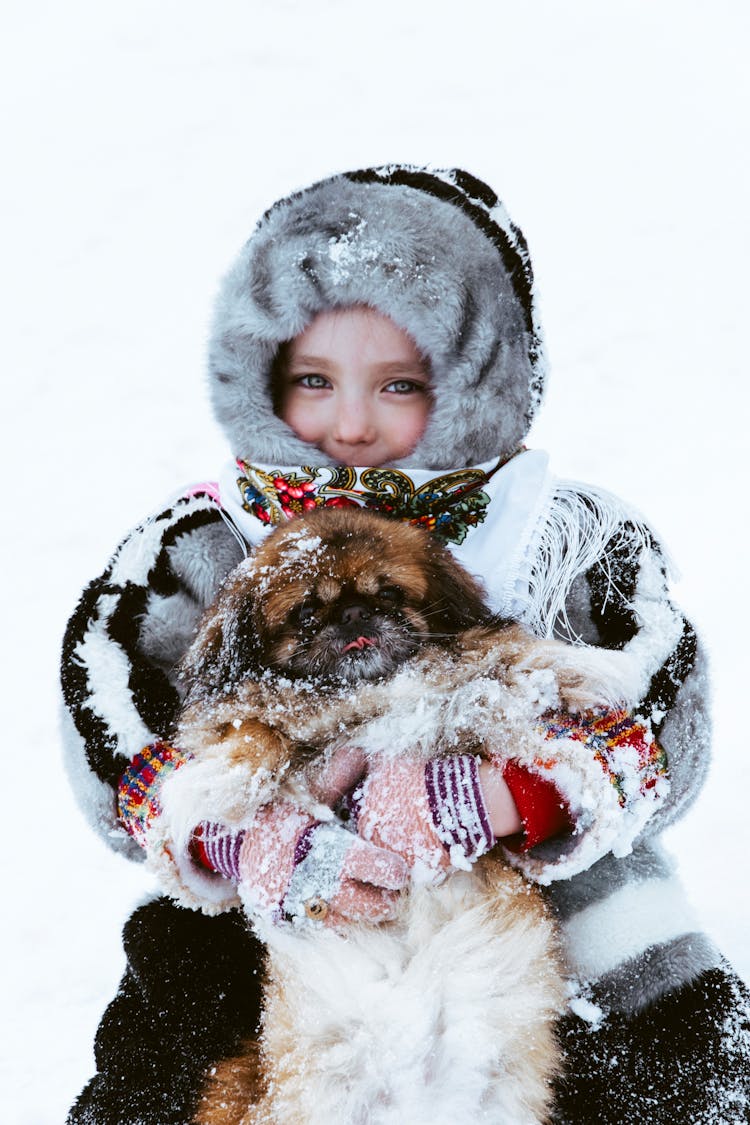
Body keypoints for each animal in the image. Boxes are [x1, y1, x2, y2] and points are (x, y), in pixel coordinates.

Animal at [177, 510, 638, 1125]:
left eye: (389, 594)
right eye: (306, 613)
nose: (353, 613)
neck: (364, 697)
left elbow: (504, 663)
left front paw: (587, 669)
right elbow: (251, 732)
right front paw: (217, 781)